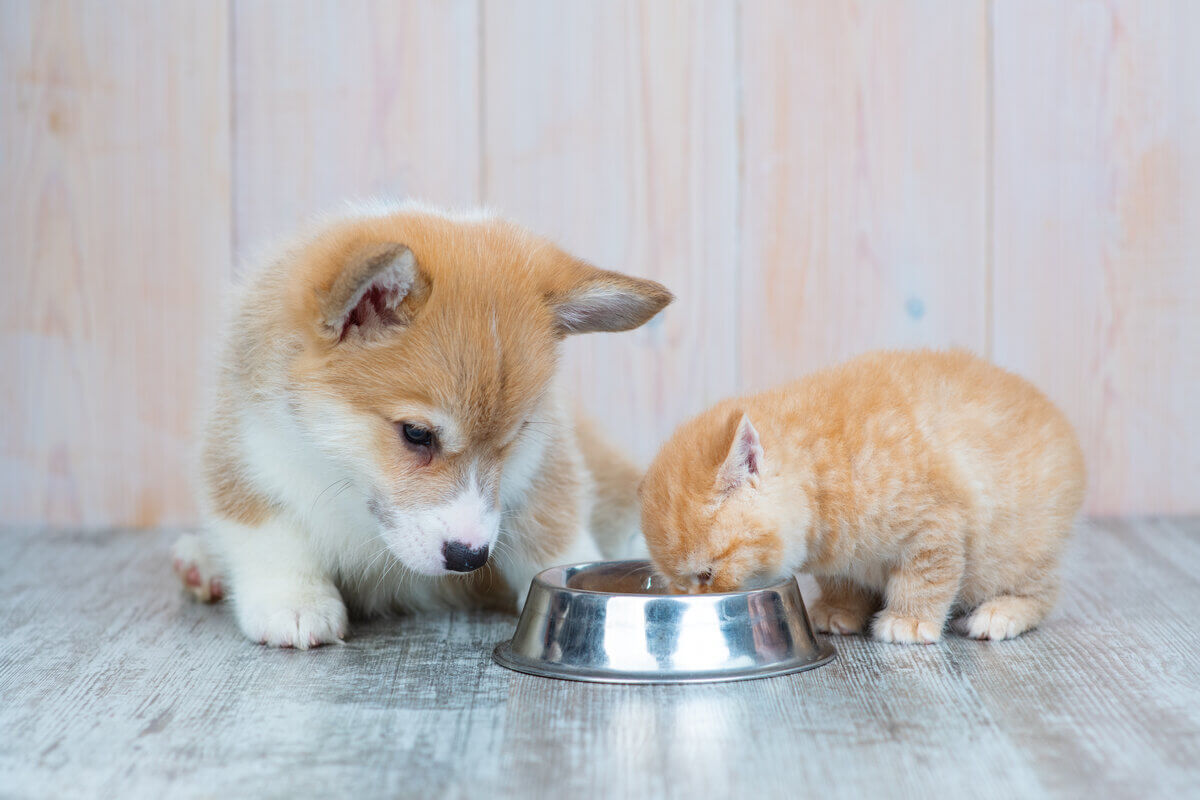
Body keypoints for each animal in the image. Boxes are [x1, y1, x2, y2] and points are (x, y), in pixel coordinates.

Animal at [172, 203, 672, 647]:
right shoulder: (246, 453)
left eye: (512, 439)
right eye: (417, 434)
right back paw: (203, 563)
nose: (470, 559)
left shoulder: (542, 468)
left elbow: (554, 533)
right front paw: (294, 602)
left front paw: (582, 581)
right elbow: (269, 535)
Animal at [643, 350, 1084, 642]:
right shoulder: (836, 557)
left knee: (1042, 591)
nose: (693, 600)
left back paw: (1000, 613)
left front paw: (908, 620)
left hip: (1015, 547)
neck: (822, 471)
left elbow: (926, 575)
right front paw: (840, 610)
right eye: (680, 584)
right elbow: (843, 581)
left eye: (706, 575)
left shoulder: (937, 523)